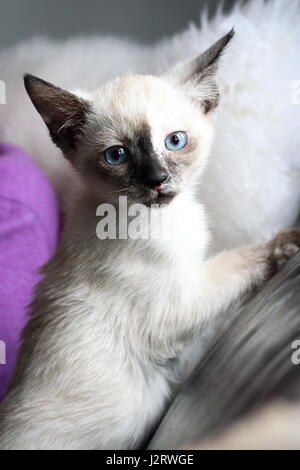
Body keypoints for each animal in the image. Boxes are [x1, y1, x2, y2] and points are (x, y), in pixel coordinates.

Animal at [0, 31, 300, 450]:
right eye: (117, 155)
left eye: (175, 141)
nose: (157, 180)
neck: (166, 218)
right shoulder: (182, 302)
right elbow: (238, 261)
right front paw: (289, 241)